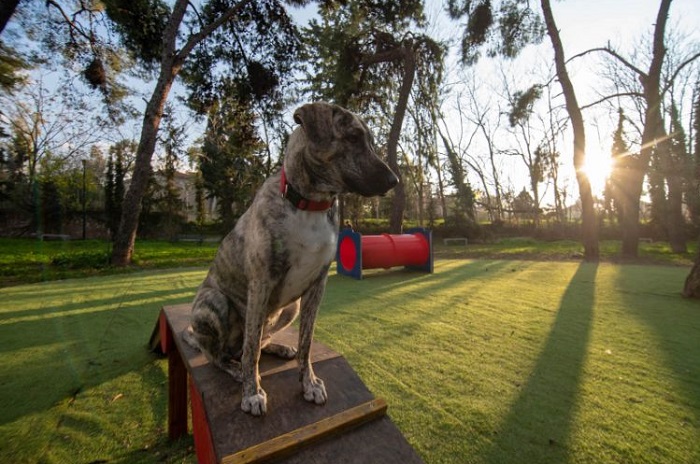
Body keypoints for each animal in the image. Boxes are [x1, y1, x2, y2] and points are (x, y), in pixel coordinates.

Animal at [183, 102, 396, 416]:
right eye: (353, 137)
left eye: (368, 139)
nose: (394, 180)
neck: (310, 204)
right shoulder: (261, 283)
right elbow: (250, 352)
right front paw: (252, 393)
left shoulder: (316, 287)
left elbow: (305, 345)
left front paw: (309, 383)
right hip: (214, 302)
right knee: (222, 354)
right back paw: (235, 369)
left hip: (289, 308)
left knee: (258, 341)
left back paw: (279, 348)